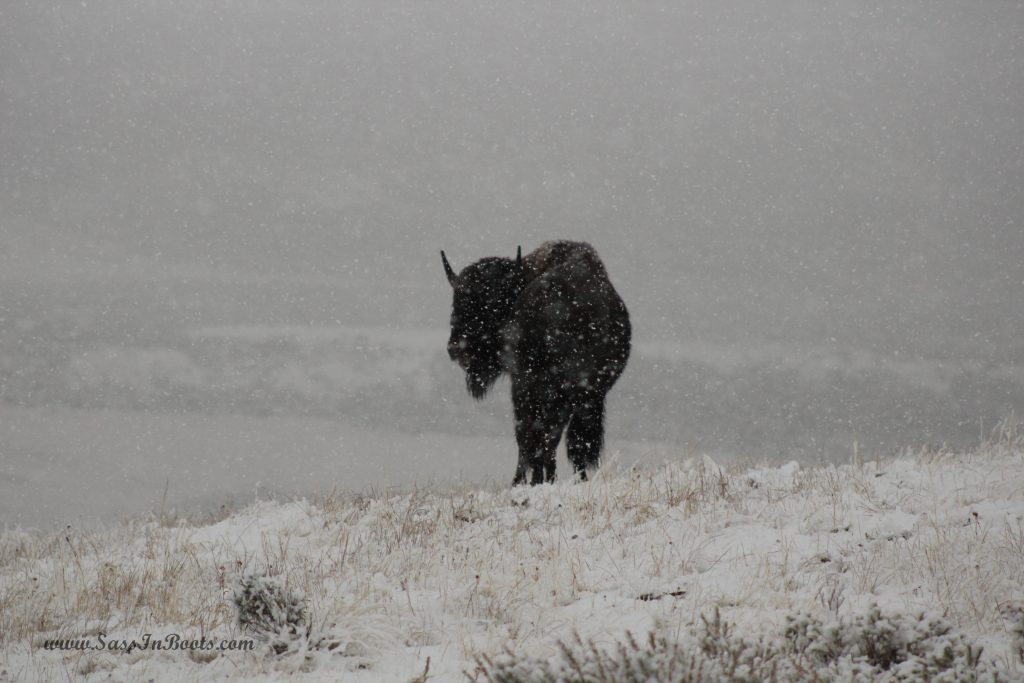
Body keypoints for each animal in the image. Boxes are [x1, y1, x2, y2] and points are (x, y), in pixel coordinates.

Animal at [442, 240, 626, 485]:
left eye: (493, 303)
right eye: (456, 302)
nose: (456, 349)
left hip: (545, 389)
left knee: (541, 435)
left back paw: (534, 479)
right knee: (547, 435)